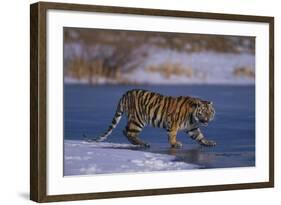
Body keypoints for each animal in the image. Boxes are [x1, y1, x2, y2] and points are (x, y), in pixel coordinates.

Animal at [86, 89, 215, 148]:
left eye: (210, 113)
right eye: (203, 113)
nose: (207, 120)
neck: (193, 117)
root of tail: (126, 93)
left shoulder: (192, 127)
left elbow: (199, 136)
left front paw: (208, 142)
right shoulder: (173, 123)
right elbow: (172, 135)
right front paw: (175, 143)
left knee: (126, 131)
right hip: (138, 119)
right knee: (127, 131)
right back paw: (143, 143)